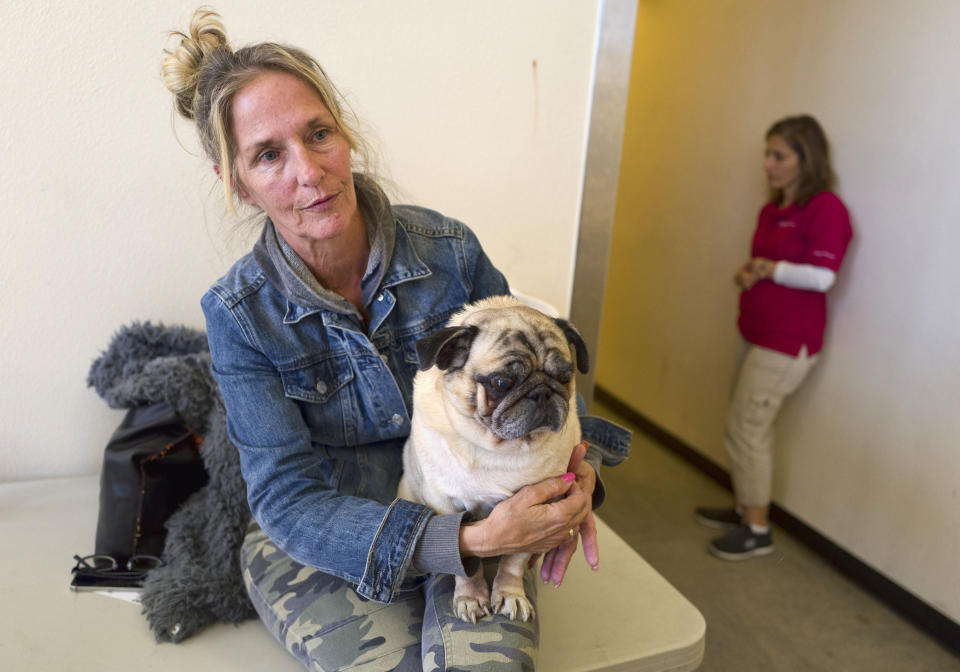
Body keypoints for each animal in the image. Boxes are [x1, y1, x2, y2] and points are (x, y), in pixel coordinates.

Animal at [396, 296, 588, 624]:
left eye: (565, 377)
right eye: (501, 383)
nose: (542, 392)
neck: (500, 449)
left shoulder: (539, 514)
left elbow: (515, 560)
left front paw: (510, 593)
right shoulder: (447, 507)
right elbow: (465, 561)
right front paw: (471, 597)